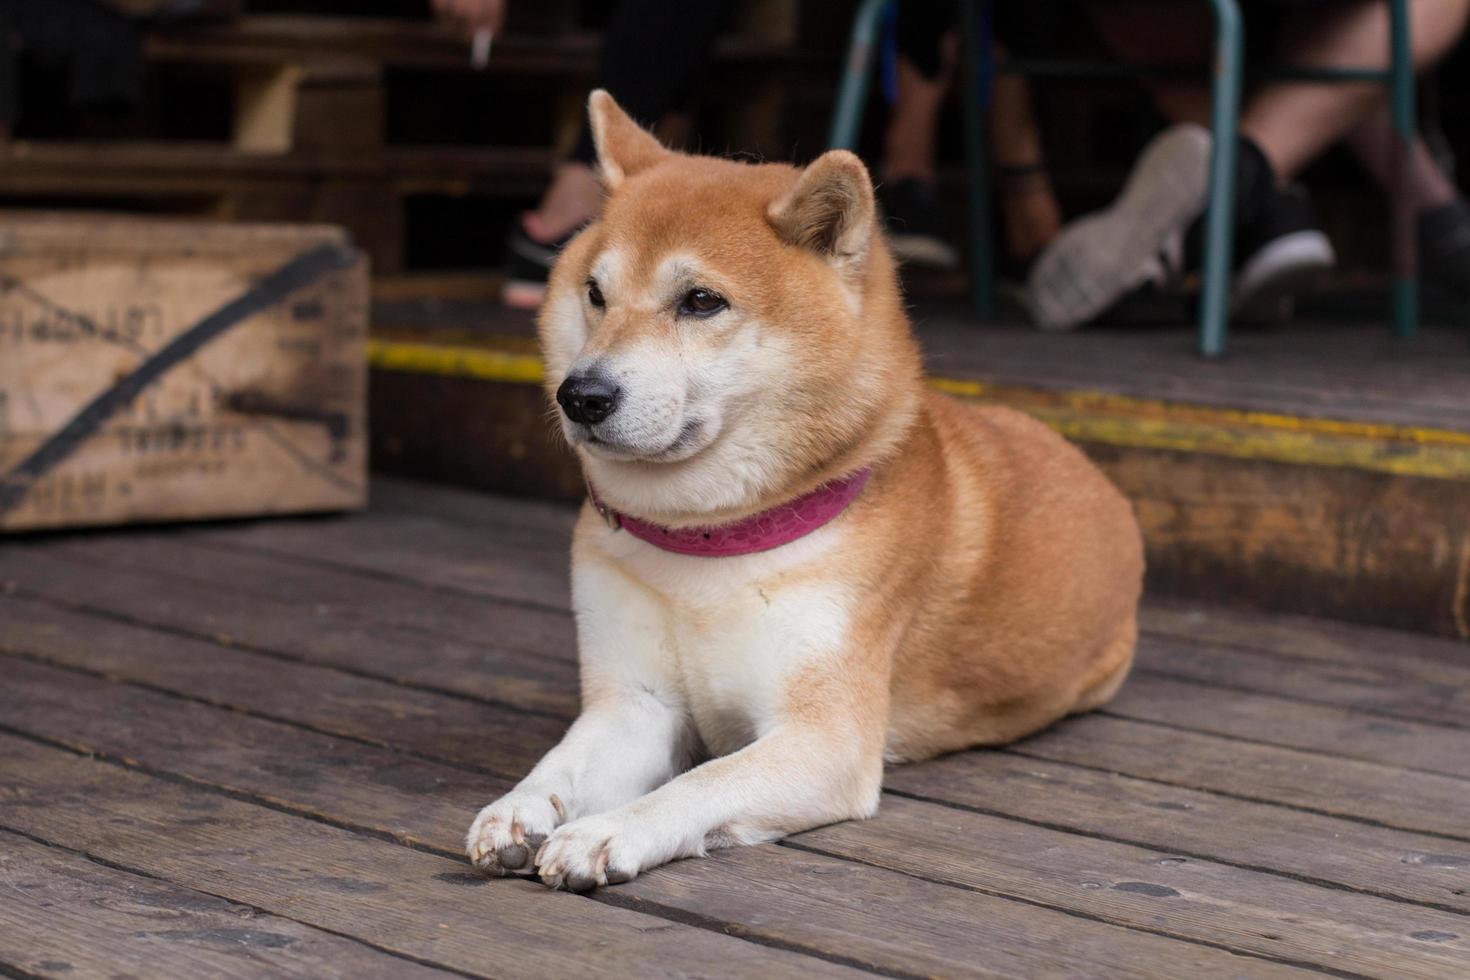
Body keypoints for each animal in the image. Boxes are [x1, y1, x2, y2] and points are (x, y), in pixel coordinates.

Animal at [464, 89, 1140, 887]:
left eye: (700, 301)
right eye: (595, 294)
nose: (582, 396)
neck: (710, 539)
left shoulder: (823, 737)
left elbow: (702, 781)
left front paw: (608, 830)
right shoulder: (635, 704)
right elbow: (561, 764)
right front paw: (519, 807)